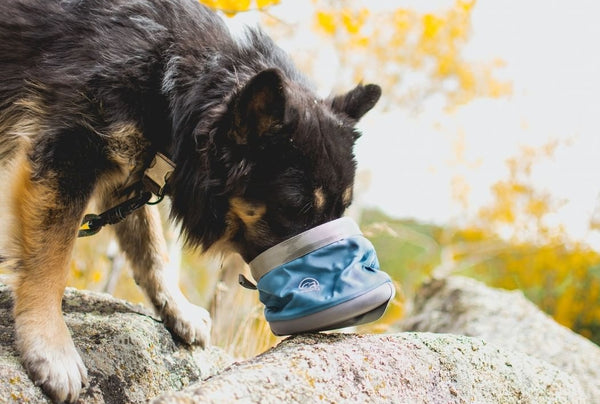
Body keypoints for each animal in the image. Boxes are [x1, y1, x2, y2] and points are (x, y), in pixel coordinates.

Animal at [1, 0, 380, 400]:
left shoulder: (135, 171)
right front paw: (50, 347)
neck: (174, 79)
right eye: (296, 209)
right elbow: (52, 260)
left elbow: (152, 252)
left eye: (342, 210)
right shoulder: (68, 153)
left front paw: (177, 310)